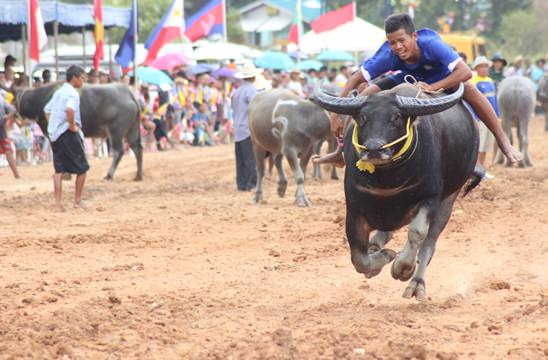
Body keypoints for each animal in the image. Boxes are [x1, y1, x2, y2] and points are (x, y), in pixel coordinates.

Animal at [314, 83, 482, 300]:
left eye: (395, 117)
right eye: (362, 117)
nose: (374, 149)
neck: (387, 180)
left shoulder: (429, 199)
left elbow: (417, 233)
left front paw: (401, 267)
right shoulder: (354, 208)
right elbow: (359, 259)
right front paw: (383, 256)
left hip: (449, 199)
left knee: (428, 245)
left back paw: (416, 284)